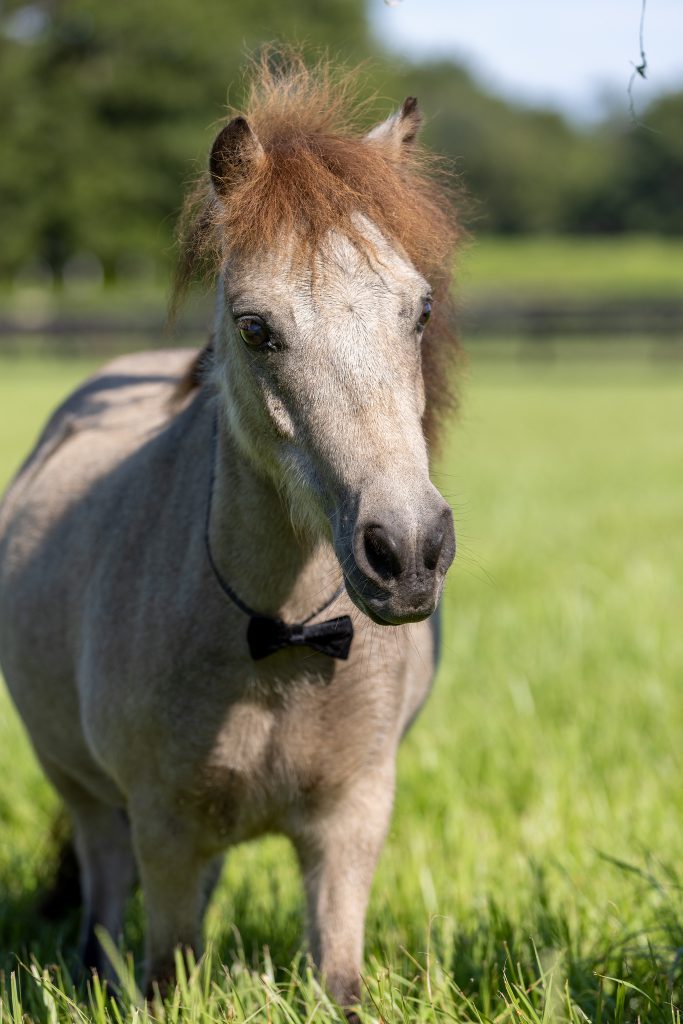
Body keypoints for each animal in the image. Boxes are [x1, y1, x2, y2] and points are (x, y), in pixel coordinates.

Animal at [0, 56, 461, 1012]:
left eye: (421, 311)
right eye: (256, 328)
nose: (406, 552)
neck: (276, 642)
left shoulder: (349, 824)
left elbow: (337, 980)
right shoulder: (165, 829)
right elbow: (165, 973)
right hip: (92, 802)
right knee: (103, 903)